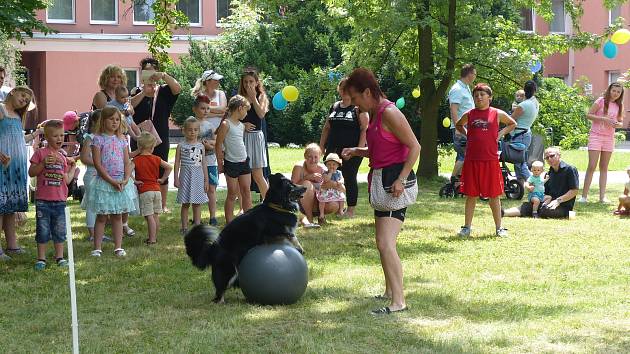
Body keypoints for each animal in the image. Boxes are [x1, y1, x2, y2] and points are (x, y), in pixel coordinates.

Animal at [184, 173, 308, 302]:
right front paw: (299, 247)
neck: (276, 207)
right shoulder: (270, 233)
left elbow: (289, 235)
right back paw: (221, 301)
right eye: (290, 185)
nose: (305, 187)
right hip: (229, 269)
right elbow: (290, 235)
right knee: (219, 291)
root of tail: (213, 249)